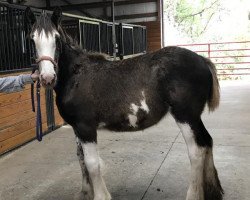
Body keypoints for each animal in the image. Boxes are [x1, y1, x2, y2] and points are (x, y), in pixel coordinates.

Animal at [25, 6, 224, 200]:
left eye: (56, 39)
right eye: (32, 39)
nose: (47, 78)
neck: (76, 76)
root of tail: (203, 60)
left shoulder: (85, 127)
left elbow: (92, 164)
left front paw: (100, 196)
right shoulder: (76, 128)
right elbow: (81, 159)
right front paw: (85, 192)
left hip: (186, 116)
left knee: (196, 151)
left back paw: (194, 194)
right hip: (195, 118)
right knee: (207, 141)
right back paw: (213, 191)